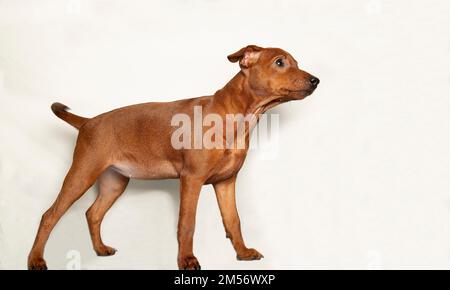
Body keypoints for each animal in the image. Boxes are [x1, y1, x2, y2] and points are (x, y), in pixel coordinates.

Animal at [27, 45, 320, 270]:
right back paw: (35, 260)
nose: (315, 80)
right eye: (280, 62)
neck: (236, 116)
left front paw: (243, 253)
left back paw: (100, 249)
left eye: (296, 62)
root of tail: (88, 122)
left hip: (114, 182)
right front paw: (187, 261)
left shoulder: (226, 182)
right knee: (49, 215)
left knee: (93, 213)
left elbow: (234, 220)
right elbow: (187, 223)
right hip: (81, 174)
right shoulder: (191, 180)